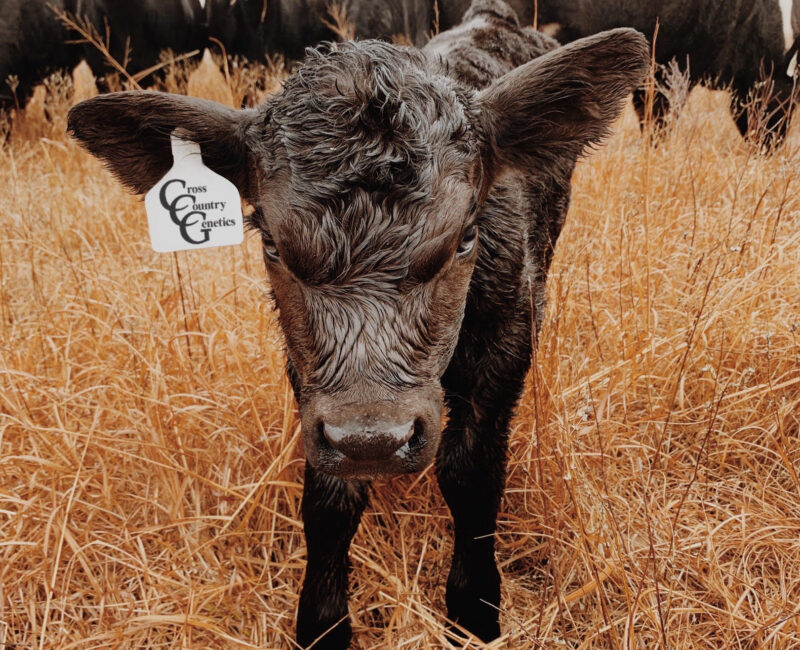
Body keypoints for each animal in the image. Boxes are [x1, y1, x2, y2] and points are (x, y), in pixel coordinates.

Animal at [67, 0, 649, 646]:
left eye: (465, 236)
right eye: (271, 244)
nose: (373, 439)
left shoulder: (508, 346)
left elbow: (470, 476)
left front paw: (474, 611)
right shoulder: (310, 379)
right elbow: (329, 501)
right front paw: (322, 624)